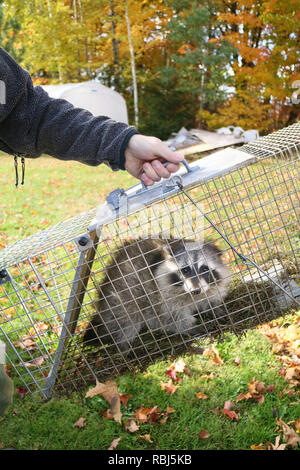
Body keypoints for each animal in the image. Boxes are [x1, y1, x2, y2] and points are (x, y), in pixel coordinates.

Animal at [83, 239, 231, 352]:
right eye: (185, 270)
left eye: (205, 269)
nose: (196, 290)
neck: (191, 295)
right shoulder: (160, 296)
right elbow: (173, 317)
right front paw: (192, 326)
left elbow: (211, 298)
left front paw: (213, 308)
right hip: (121, 296)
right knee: (127, 319)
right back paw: (124, 344)